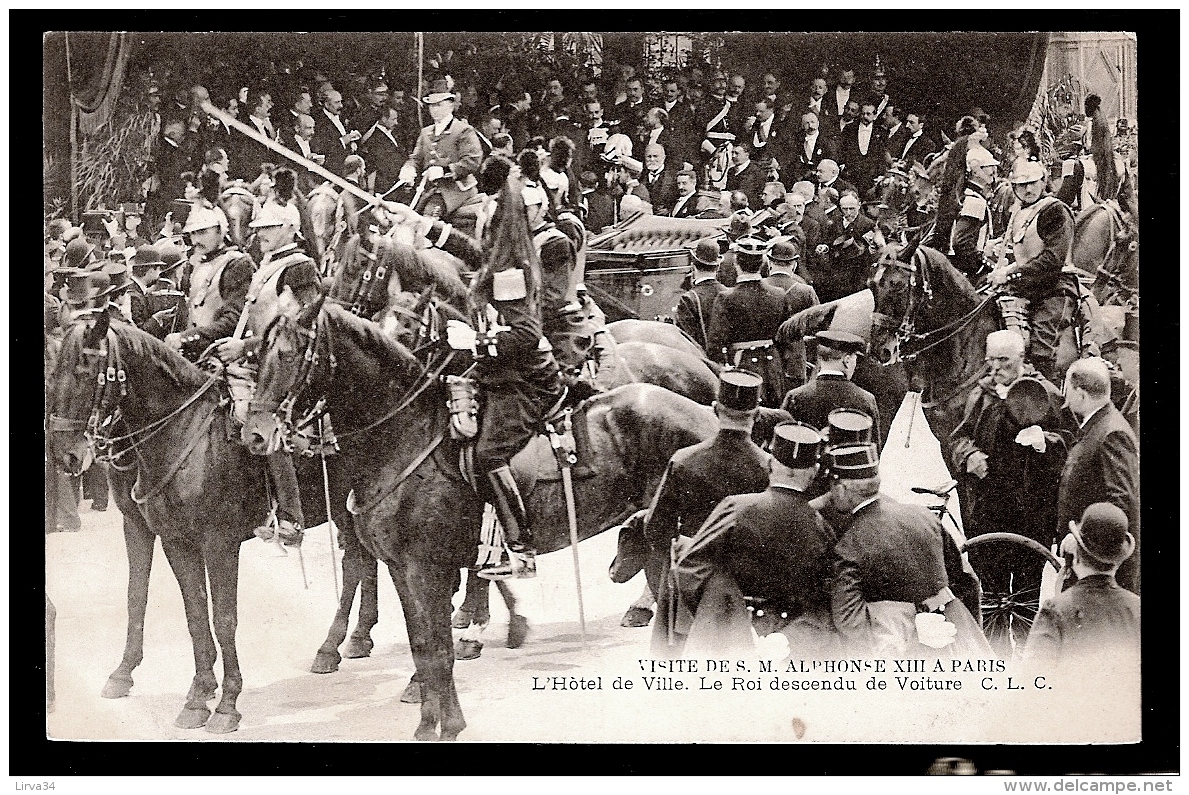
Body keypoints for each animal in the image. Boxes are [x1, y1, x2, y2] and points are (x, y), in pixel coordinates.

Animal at [47, 308, 268, 732]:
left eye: (85, 370)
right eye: (53, 372)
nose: (64, 454)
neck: (182, 433)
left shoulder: (219, 542)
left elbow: (224, 617)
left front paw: (227, 703)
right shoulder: (164, 536)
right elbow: (177, 607)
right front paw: (197, 694)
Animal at [246, 299, 718, 736]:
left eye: (290, 354)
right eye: (258, 355)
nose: (254, 434)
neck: (404, 438)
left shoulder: (427, 569)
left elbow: (439, 648)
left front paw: (451, 722)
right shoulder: (402, 568)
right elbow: (422, 643)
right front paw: (427, 723)